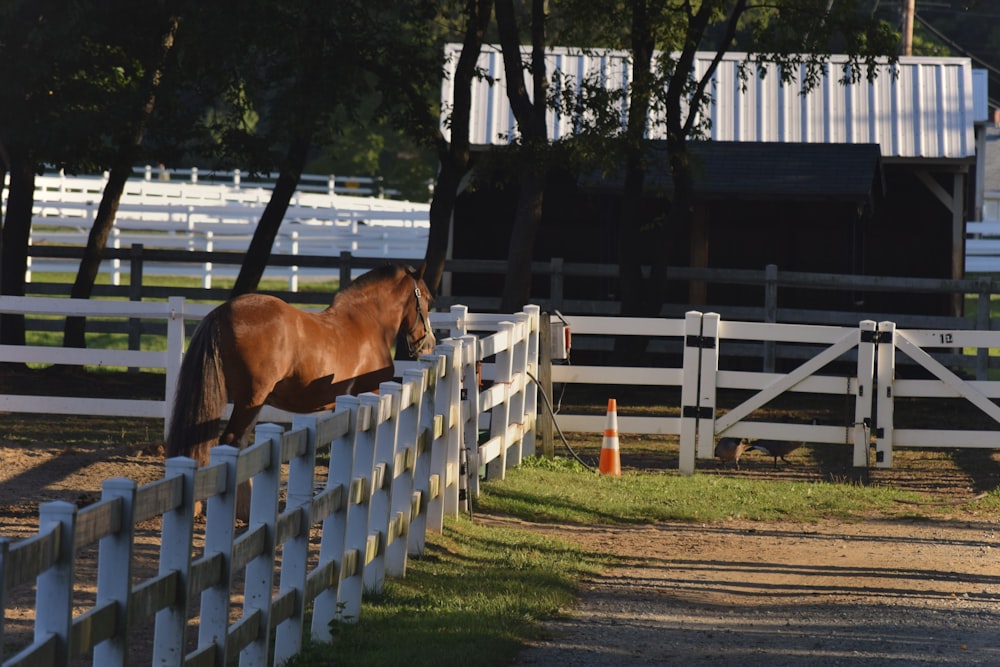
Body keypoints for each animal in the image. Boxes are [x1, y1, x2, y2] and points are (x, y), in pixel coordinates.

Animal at [166, 262, 436, 470]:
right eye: (427, 299)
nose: (429, 343)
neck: (368, 323)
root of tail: (220, 313)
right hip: (250, 400)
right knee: (230, 442)